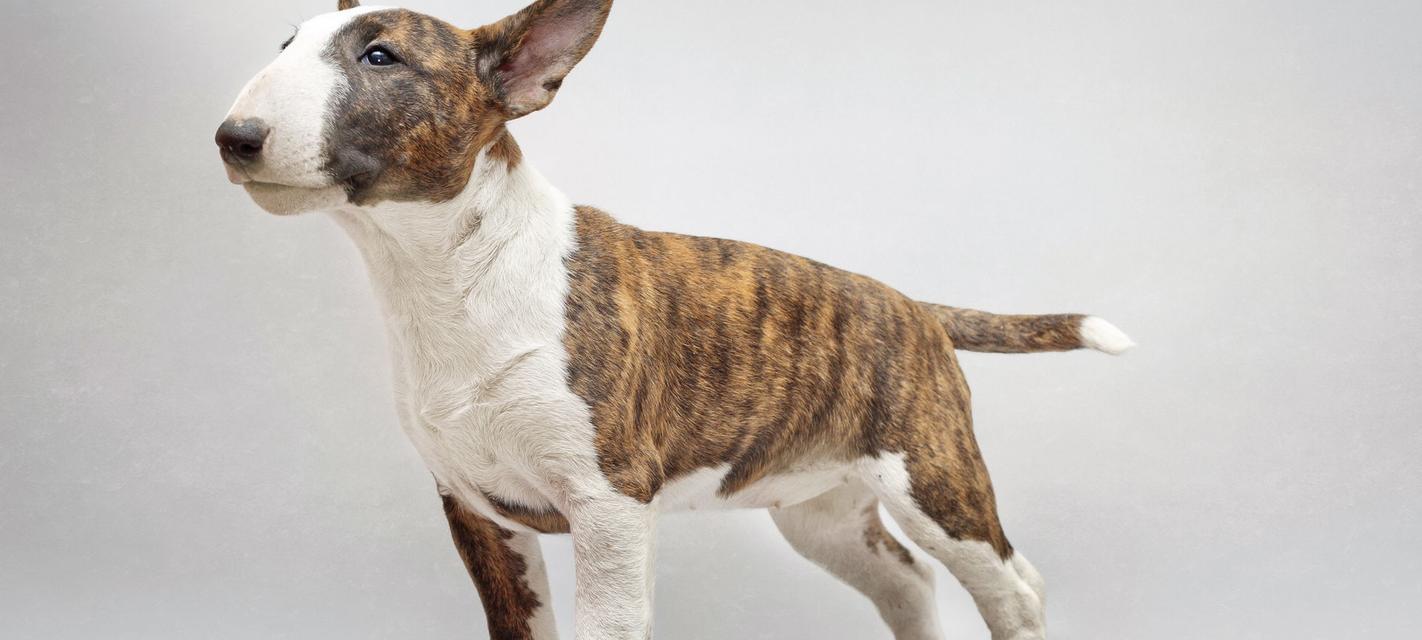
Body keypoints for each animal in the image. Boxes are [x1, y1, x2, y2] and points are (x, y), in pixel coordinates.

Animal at [216, 2, 1131, 637]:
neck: (448, 276)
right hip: (823, 512)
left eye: (381, 56)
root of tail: (913, 307)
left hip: (933, 479)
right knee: (911, 582)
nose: (234, 137)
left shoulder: (610, 502)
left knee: (1012, 587)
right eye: (285, 45)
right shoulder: (475, 509)